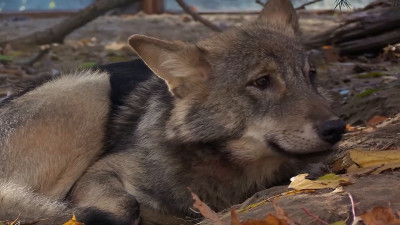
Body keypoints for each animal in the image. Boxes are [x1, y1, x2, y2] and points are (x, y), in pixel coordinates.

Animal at [0, 0, 346, 224]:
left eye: (311, 75)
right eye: (262, 81)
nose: (336, 128)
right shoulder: (99, 173)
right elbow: (126, 205)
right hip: (91, 87)